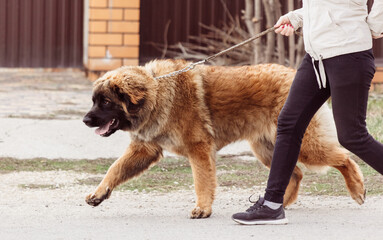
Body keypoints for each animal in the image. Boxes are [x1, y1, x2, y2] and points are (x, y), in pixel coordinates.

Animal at [83, 59, 366, 218]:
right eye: (94, 101)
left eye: (105, 102)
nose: (85, 120)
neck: (158, 91)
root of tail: (292, 73)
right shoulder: (144, 149)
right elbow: (115, 169)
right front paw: (99, 192)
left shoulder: (199, 149)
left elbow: (202, 182)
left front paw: (203, 209)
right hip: (267, 148)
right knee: (295, 173)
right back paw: (276, 205)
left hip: (305, 144)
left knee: (344, 158)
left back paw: (356, 188)